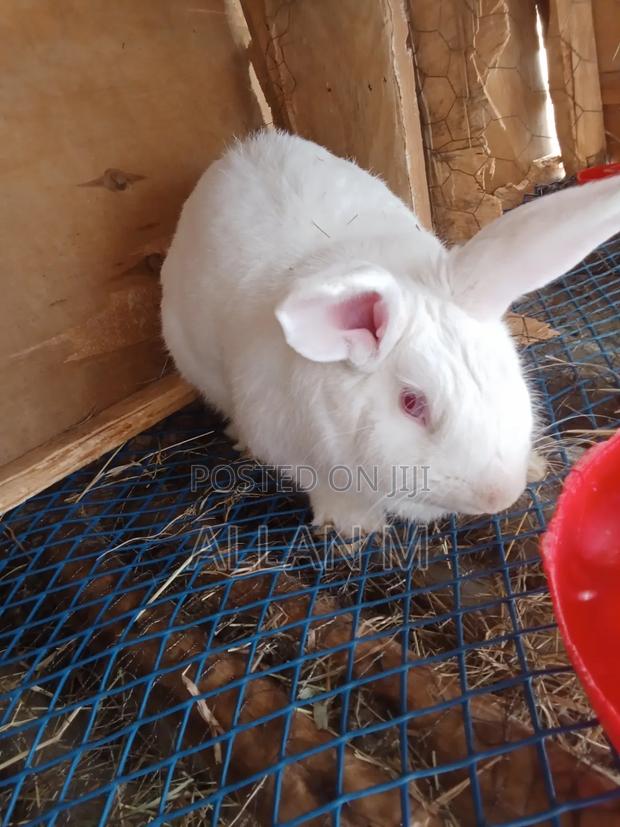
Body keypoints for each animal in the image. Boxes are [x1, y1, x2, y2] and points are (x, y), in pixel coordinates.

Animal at [161, 129, 620, 535]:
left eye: (503, 372)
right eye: (411, 404)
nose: (500, 496)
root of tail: (240, 151)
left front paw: (533, 466)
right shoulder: (286, 444)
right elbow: (322, 485)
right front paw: (353, 525)